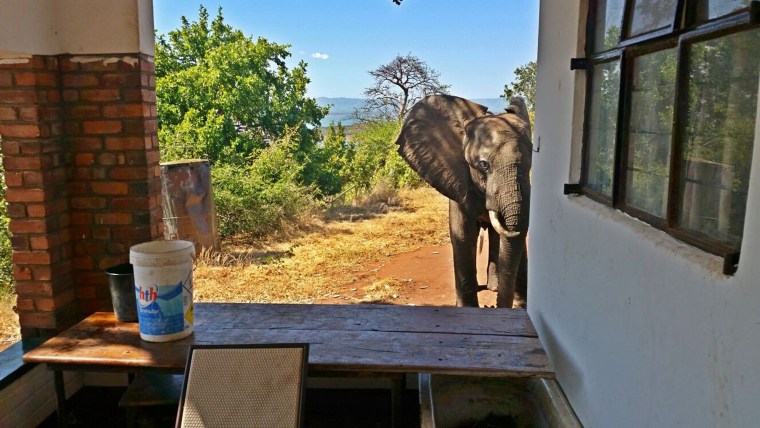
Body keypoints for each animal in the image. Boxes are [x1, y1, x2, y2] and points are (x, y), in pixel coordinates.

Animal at [394, 94, 532, 308]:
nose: (491, 307)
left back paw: (494, 287)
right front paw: (468, 308)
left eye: (531, 161)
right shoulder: (457, 178)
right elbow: (463, 234)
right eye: (484, 164)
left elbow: (515, 235)